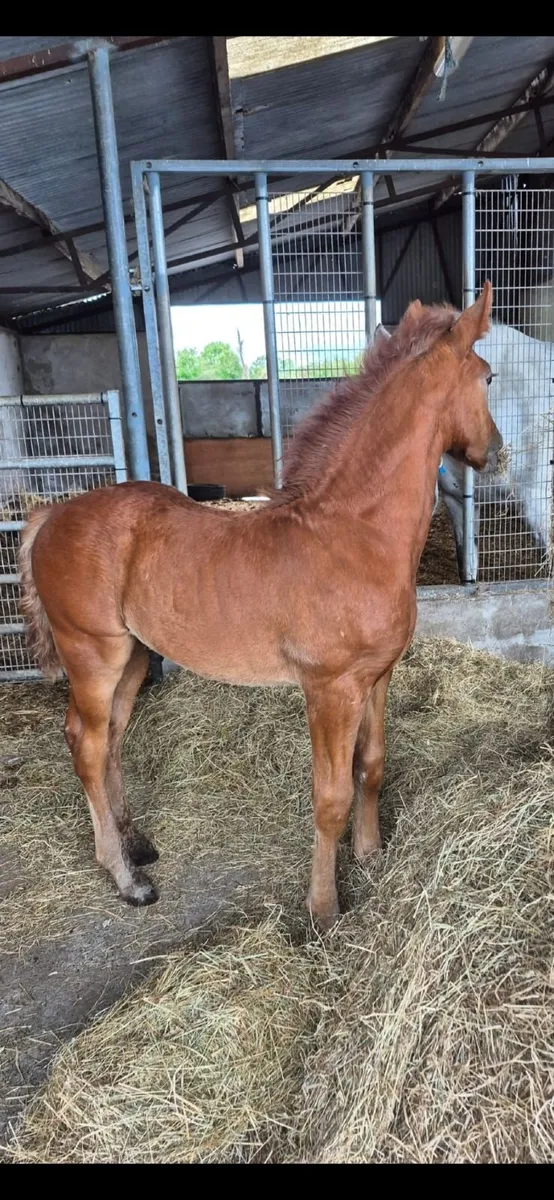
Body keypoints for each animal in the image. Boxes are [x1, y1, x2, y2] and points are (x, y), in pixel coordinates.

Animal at [19, 284, 501, 930]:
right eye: (488, 376)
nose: (496, 453)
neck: (354, 531)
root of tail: (52, 514)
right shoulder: (330, 689)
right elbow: (331, 797)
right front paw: (323, 908)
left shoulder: (377, 677)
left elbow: (372, 763)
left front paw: (371, 854)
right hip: (93, 654)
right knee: (88, 744)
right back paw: (126, 877)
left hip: (136, 657)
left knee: (115, 736)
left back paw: (135, 841)